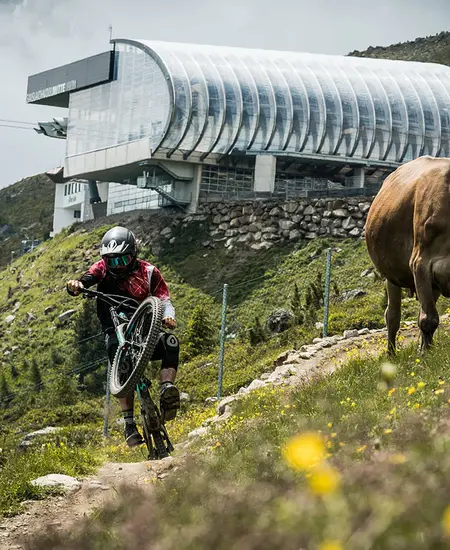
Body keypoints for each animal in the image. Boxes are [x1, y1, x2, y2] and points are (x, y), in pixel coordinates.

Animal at [366, 156, 450, 354]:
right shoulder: (420, 263)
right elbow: (428, 320)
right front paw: (426, 356)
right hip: (392, 276)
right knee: (392, 315)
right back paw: (391, 354)